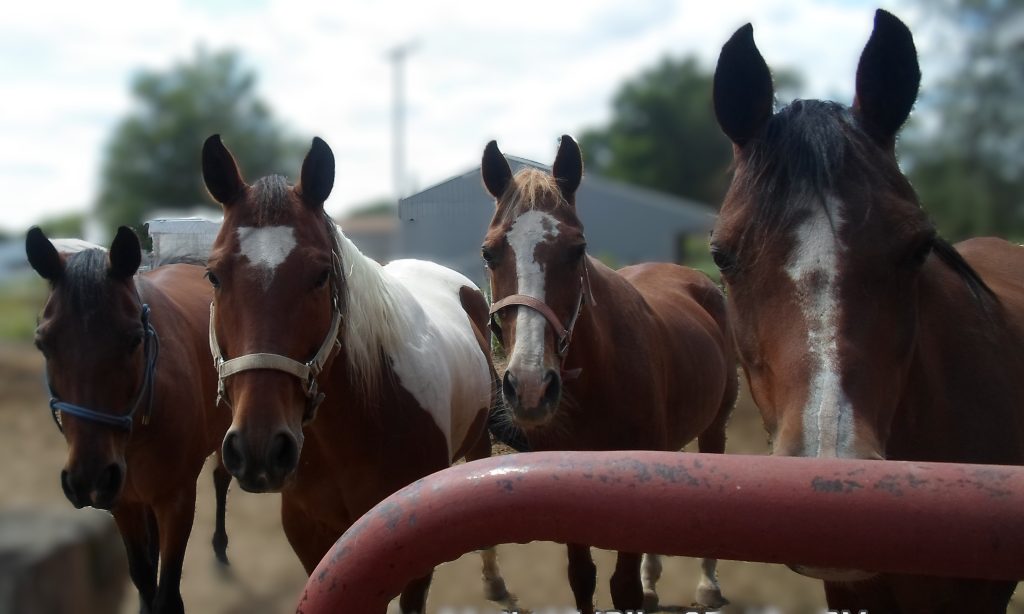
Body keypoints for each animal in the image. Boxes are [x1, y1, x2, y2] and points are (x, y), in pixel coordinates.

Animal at [25, 226, 233, 614]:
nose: (88, 477)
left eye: (134, 339)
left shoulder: (178, 500)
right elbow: (143, 577)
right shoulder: (122, 501)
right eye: (43, 343)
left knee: (222, 481)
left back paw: (221, 548)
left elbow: (167, 595)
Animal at [480, 135, 738, 613]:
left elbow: (624, 588)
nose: (530, 387)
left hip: (715, 426)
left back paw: (707, 585)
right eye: (489, 253)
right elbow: (582, 578)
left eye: (578, 249)